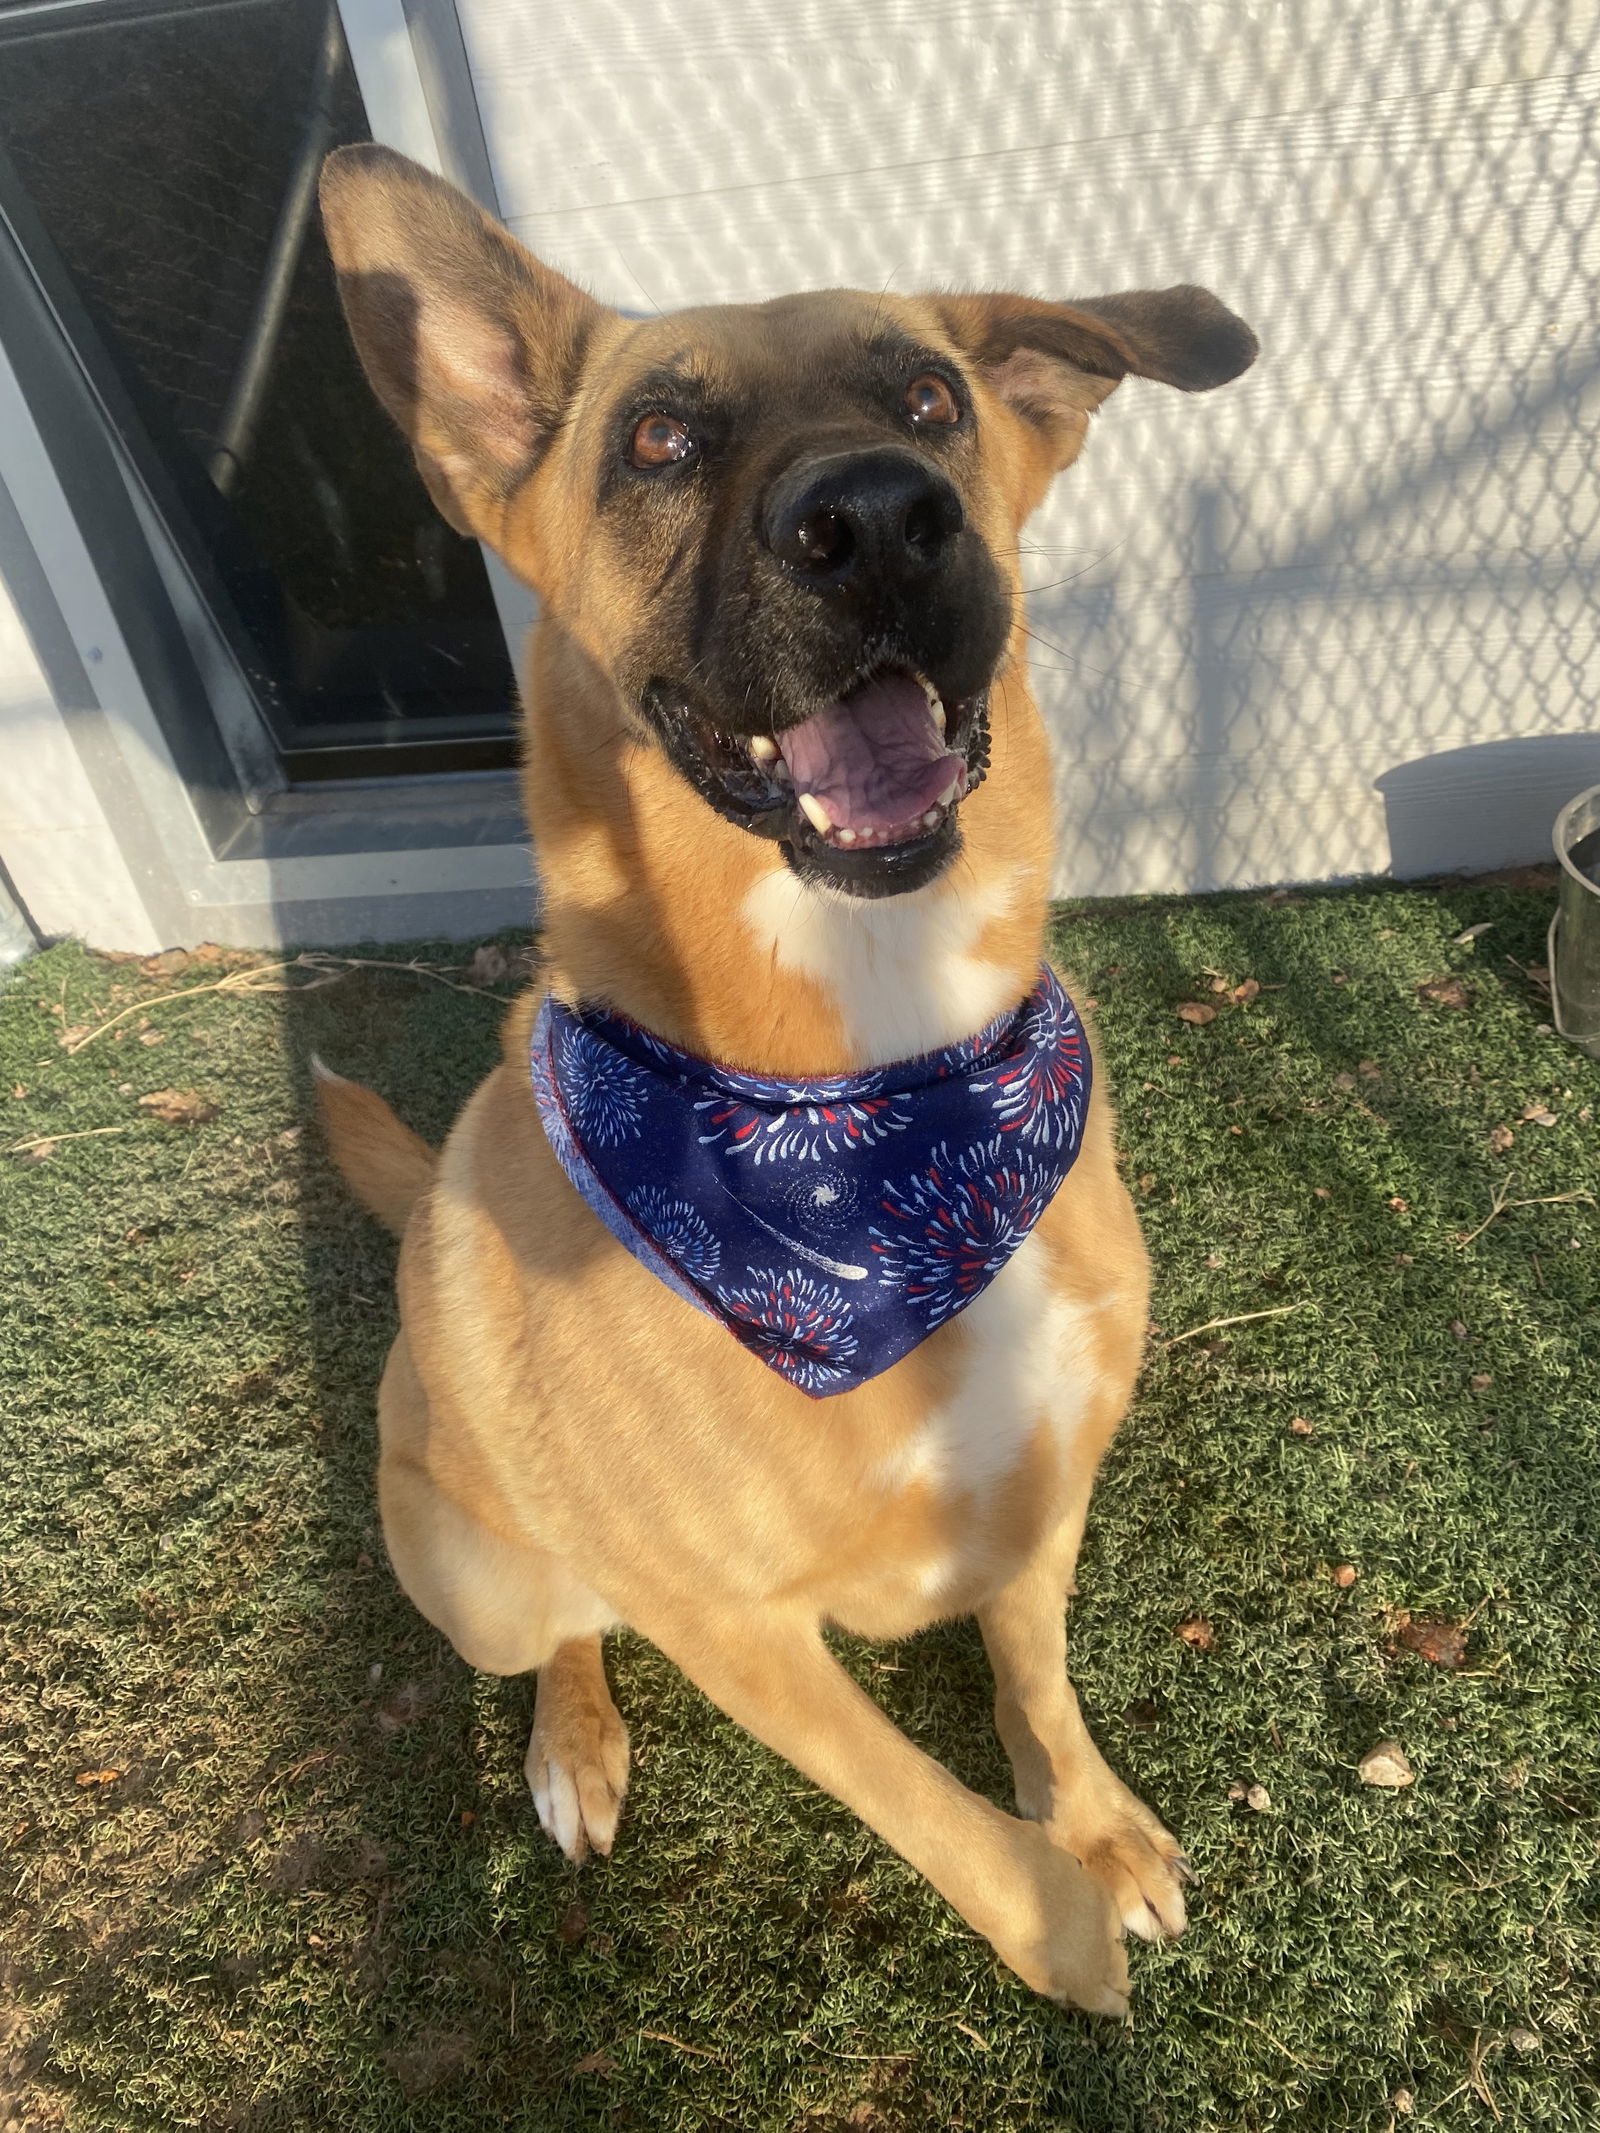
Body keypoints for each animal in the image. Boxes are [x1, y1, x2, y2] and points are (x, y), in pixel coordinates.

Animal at [313, 146, 1262, 2013]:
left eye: (932, 400)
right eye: (657, 440)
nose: (882, 520)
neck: (872, 1109)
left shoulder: (1048, 1472)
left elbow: (1033, 1673)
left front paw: (1091, 1824)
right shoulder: (734, 1626)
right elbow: (921, 1801)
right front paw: (1058, 1922)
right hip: (474, 1562)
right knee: (560, 1631)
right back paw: (571, 1741)